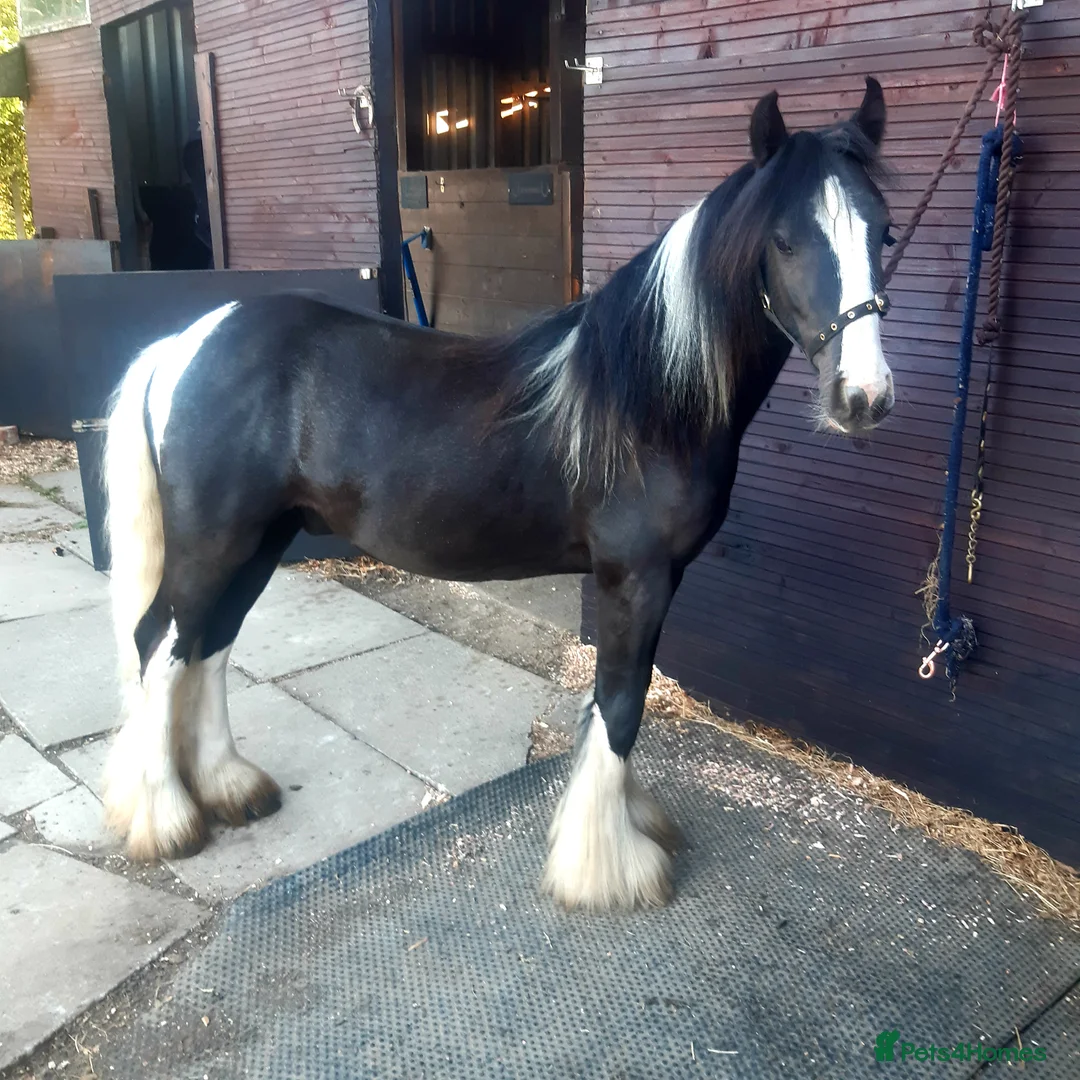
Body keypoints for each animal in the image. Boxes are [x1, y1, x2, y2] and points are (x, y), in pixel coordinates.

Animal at [102, 78, 895, 911]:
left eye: (886, 233)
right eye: (785, 240)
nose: (863, 397)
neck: (651, 398)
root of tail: (184, 345)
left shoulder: (657, 580)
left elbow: (622, 698)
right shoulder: (635, 578)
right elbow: (620, 704)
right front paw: (607, 867)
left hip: (263, 538)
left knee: (210, 644)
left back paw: (226, 787)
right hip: (214, 541)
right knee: (161, 643)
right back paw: (166, 817)